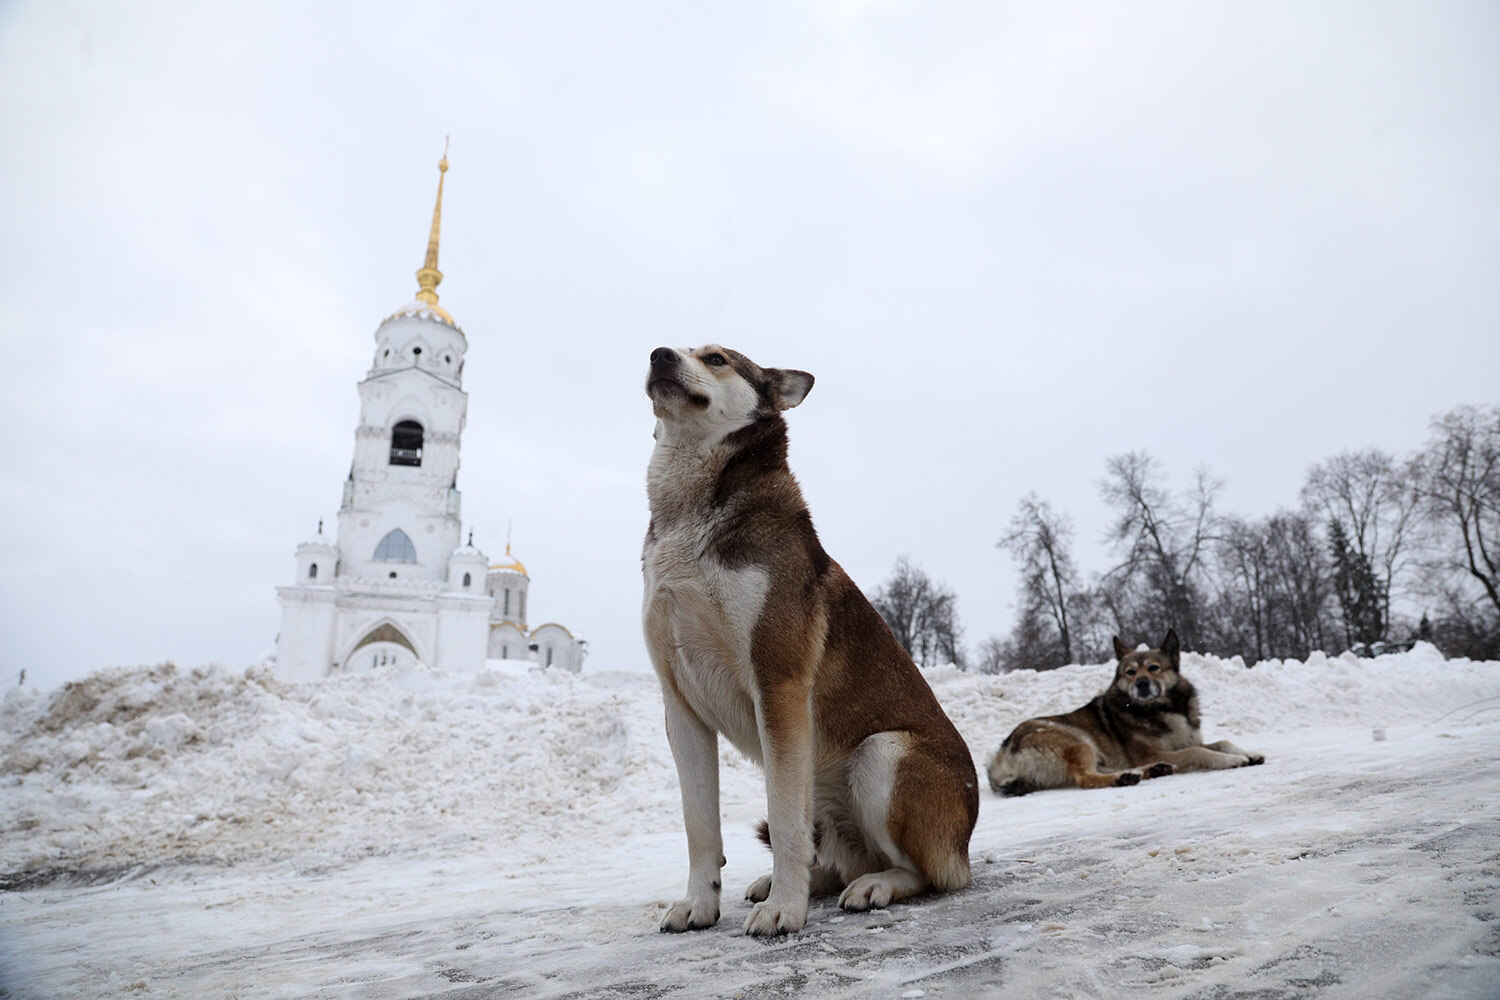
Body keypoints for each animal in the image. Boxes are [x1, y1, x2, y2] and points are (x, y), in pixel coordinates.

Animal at [645, 346, 984, 941]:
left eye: (716, 358)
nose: (658, 353)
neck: (688, 519)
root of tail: (965, 835)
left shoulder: (777, 683)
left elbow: (783, 822)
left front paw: (785, 910)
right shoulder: (680, 704)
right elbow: (699, 826)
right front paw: (699, 904)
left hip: (881, 755)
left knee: (928, 874)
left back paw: (873, 886)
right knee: (831, 853)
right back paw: (806, 880)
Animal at [984, 632, 1266, 797]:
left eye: (1154, 668)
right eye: (1130, 672)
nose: (1141, 684)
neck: (1165, 708)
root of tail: (1001, 756)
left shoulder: (1184, 741)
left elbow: (1221, 741)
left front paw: (1248, 753)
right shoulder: (1154, 751)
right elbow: (1199, 751)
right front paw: (1230, 760)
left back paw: (1152, 770)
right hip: (1077, 741)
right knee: (1086, 778)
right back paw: (1125, 777)